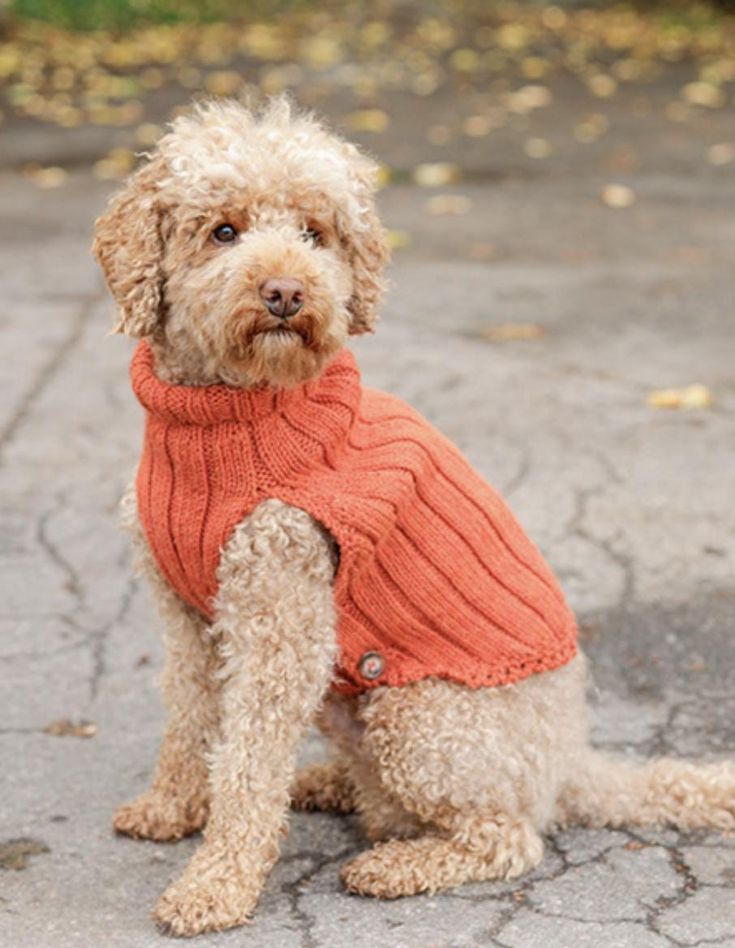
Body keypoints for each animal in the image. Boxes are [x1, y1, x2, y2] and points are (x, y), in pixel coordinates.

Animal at [92, 96, 735, 932]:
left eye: (315, 233)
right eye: (223, 231)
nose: (287, 292)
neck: (229, 419)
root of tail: (569, 763)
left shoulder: (280, 624)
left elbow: (248, 759)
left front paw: (215, 886)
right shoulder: (189, 617)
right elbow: (191, 718)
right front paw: (170, 808)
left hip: (419, 715)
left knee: (505, 836)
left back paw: (396, 864)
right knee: (393, 800)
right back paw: (330, 785)